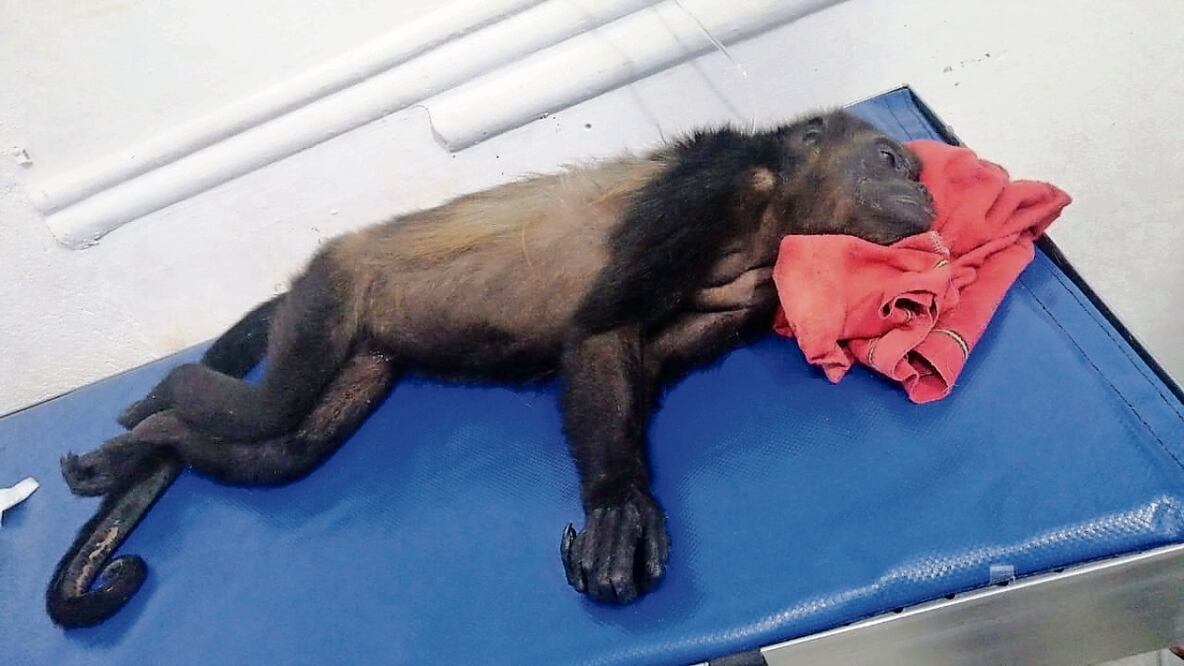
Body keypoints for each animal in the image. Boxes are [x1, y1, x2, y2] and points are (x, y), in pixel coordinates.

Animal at [54, 110, 934, 624]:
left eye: (916, 170)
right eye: (892, 157)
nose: (924, 195)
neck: (773, 206)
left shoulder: (760, 281)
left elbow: (639, 360)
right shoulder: (705, 188)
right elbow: (599, 331)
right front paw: (617, 504)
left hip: (365, 354)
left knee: (284, 450)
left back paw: (158, 436)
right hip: (330, 291)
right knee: (272, 408)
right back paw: (162, 400)